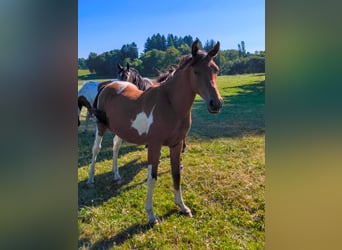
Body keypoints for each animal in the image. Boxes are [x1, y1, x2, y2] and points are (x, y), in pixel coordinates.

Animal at [89, 41, 222, 225]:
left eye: (216, 70)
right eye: (196, 71)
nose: (216, 104)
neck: (170, 104)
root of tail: (107, 85)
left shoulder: (176, 145)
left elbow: (176, 174)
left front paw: (182, 207)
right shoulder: (154, 146)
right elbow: (152, 177)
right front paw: (151, 215)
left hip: (120, 130)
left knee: (115, 148)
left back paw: (116, 175)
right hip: (101, 127)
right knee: (96, 149)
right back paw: (90, 179)